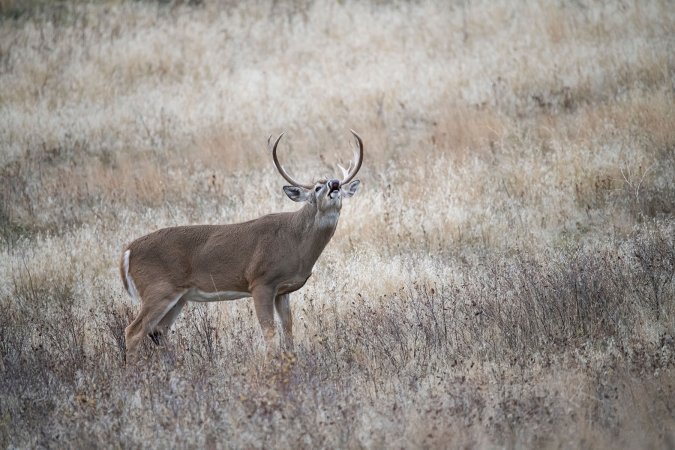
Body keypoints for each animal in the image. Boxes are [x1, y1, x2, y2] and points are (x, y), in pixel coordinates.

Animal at [121, 129, 364, 358]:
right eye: (316, 188)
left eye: (338, 184)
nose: (334, 183)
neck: (295, 242)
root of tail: (128, 250)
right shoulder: (260, 281)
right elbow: (269, 332)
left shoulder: (283, 289)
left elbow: (288, 330)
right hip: (157, 288)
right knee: (134, 331)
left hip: (178, 296)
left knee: (158, 331)